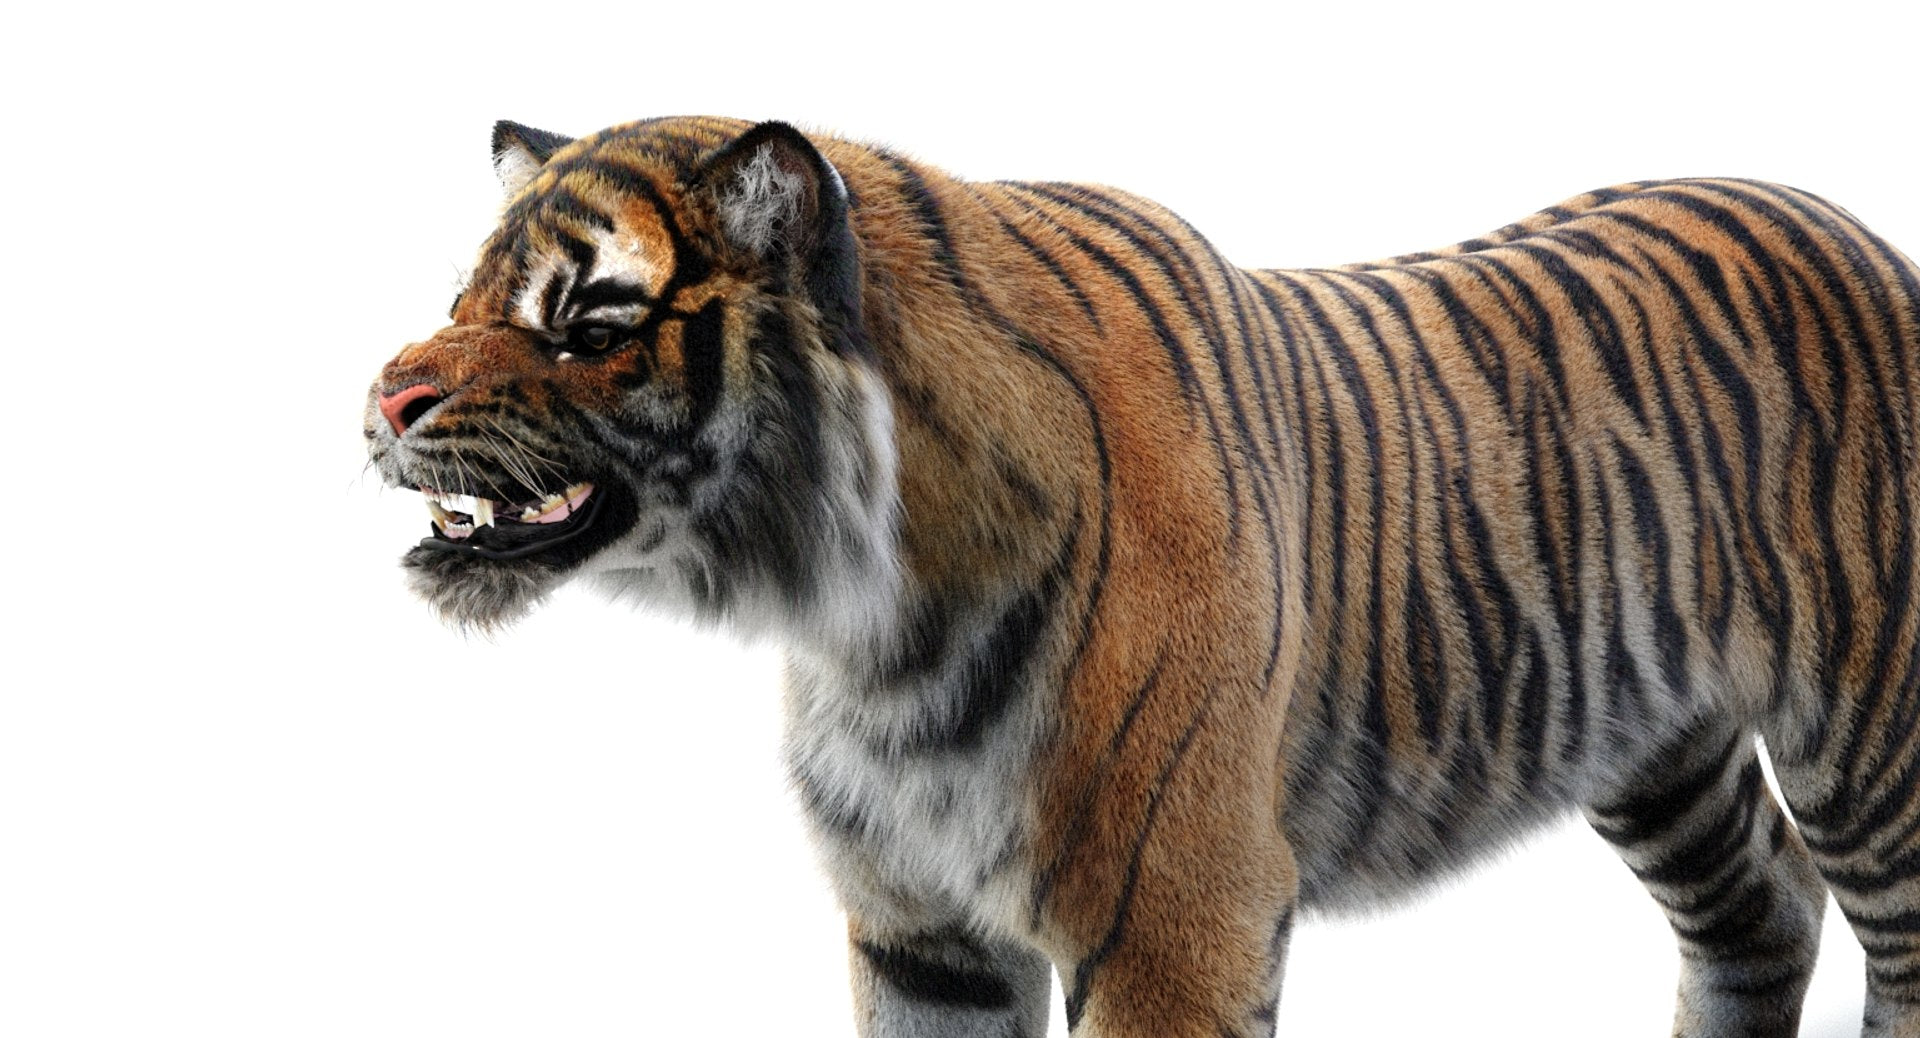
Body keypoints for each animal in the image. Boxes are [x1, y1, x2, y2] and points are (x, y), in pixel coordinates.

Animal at [365, 114, 1920, 1037]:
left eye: (585, 323)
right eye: (461, 298)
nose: (382, 398)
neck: (856, 609)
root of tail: (1846, 219)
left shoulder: (1179, 913)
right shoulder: (918, 925)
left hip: (1871, 741)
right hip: (1656, 740)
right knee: (1762, 903)